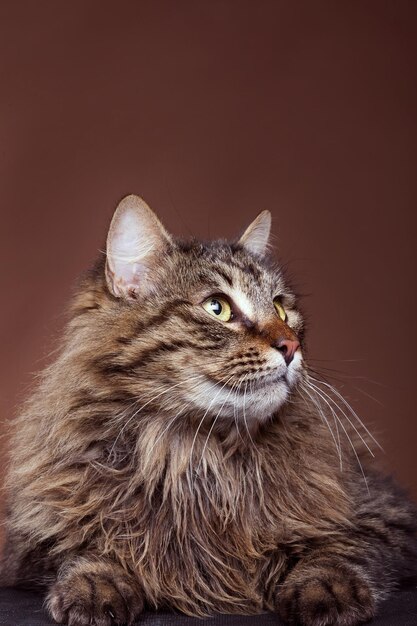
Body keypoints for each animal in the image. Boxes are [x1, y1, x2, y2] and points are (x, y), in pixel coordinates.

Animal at [0, 195, 416, 624]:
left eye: (282, 309)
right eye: (218, 308)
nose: (291, 346)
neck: (195, 452)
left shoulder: (386, 516)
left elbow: (337, 550)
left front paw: (329, 593)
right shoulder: (29, 543)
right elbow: (85, 549)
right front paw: (96, 587)